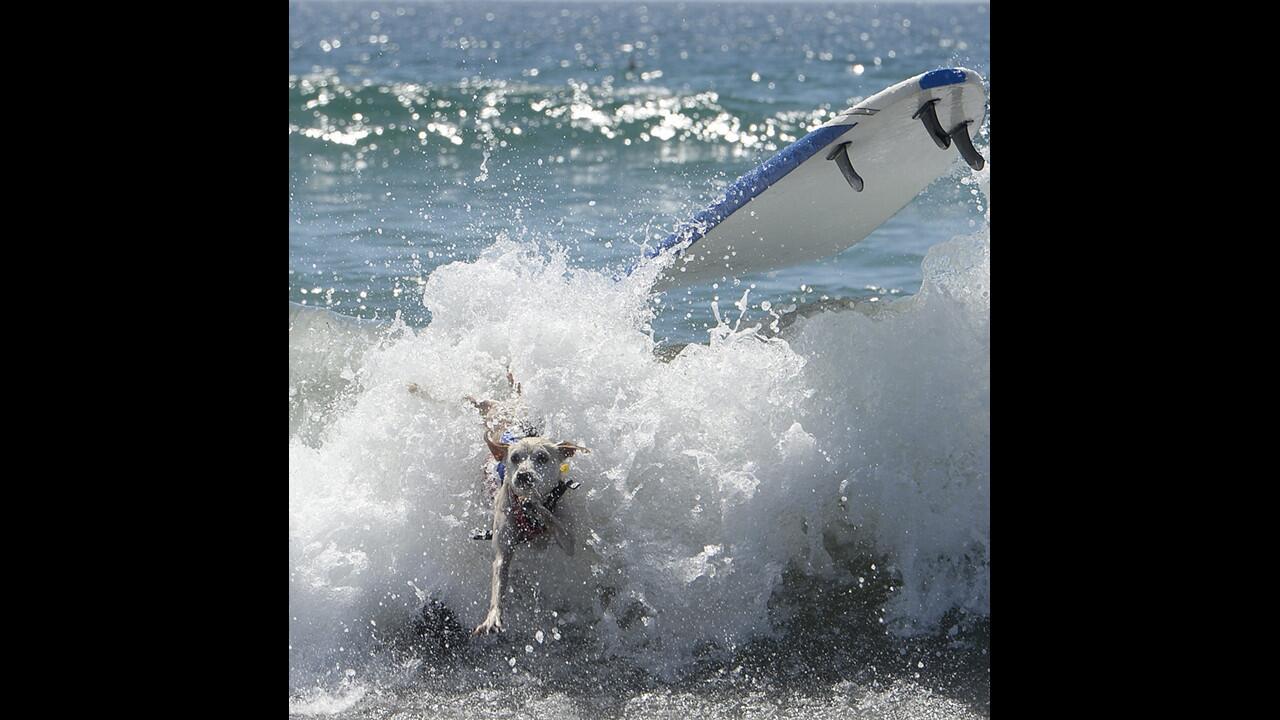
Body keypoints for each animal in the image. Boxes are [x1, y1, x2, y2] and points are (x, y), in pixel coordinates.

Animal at [468, 368, 586, 632]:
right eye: (514, 458)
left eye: (542, 457)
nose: (523, 475)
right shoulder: (503, 545)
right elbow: (500, 571)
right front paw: (493, 615)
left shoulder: (569, 538)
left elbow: (562, 530)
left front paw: (535, 506)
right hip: (490, 409)